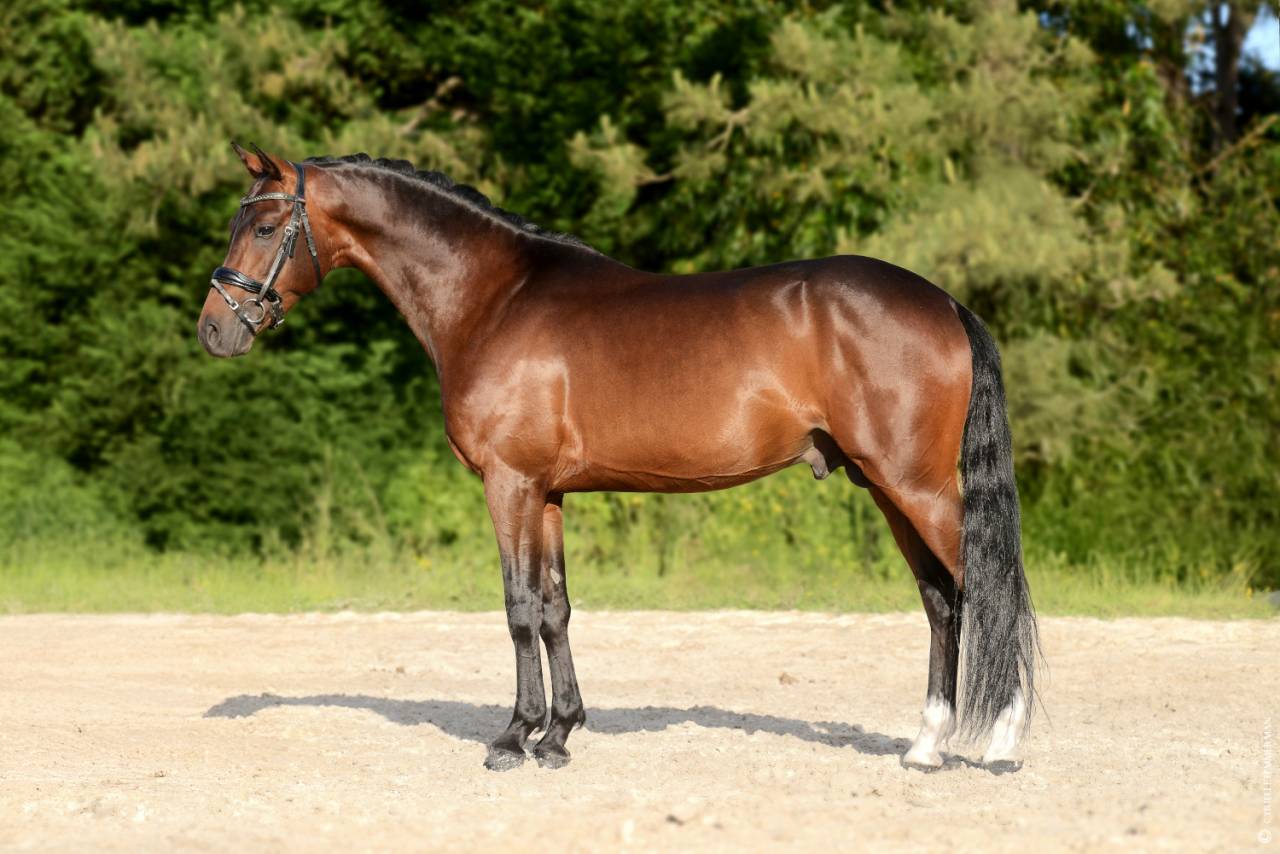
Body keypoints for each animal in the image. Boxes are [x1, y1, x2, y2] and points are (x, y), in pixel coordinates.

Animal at [198, 143, 1039, 772]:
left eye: (265, 227)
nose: (215, 329)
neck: (495, 298)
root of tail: (945, 303)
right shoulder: (546, 493)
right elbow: (556, 607)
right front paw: (561, 733)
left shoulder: (508, 485)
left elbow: (518, 608)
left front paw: (514, 738)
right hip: (889, 489)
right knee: (942, 599)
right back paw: (925, 745)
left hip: (917, 487)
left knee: (988, 587)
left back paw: (1001, 741)